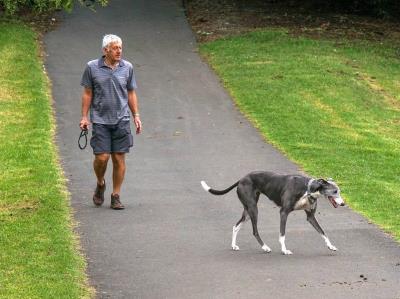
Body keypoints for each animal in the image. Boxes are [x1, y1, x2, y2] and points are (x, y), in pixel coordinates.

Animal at [202, 171, 346, 255]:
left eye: (339, 191)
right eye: (334, 191)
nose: (343, 204)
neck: (308, 189)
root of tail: (241, 179)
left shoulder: (310, 217)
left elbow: (323, 232)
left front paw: (331, 246)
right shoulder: (284, 212)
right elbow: (282, 235)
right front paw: (284, 250)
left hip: (247, 211)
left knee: (236, 226)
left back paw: (233, 245)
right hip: (253, 209)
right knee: (254, 231)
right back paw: (265, 247)